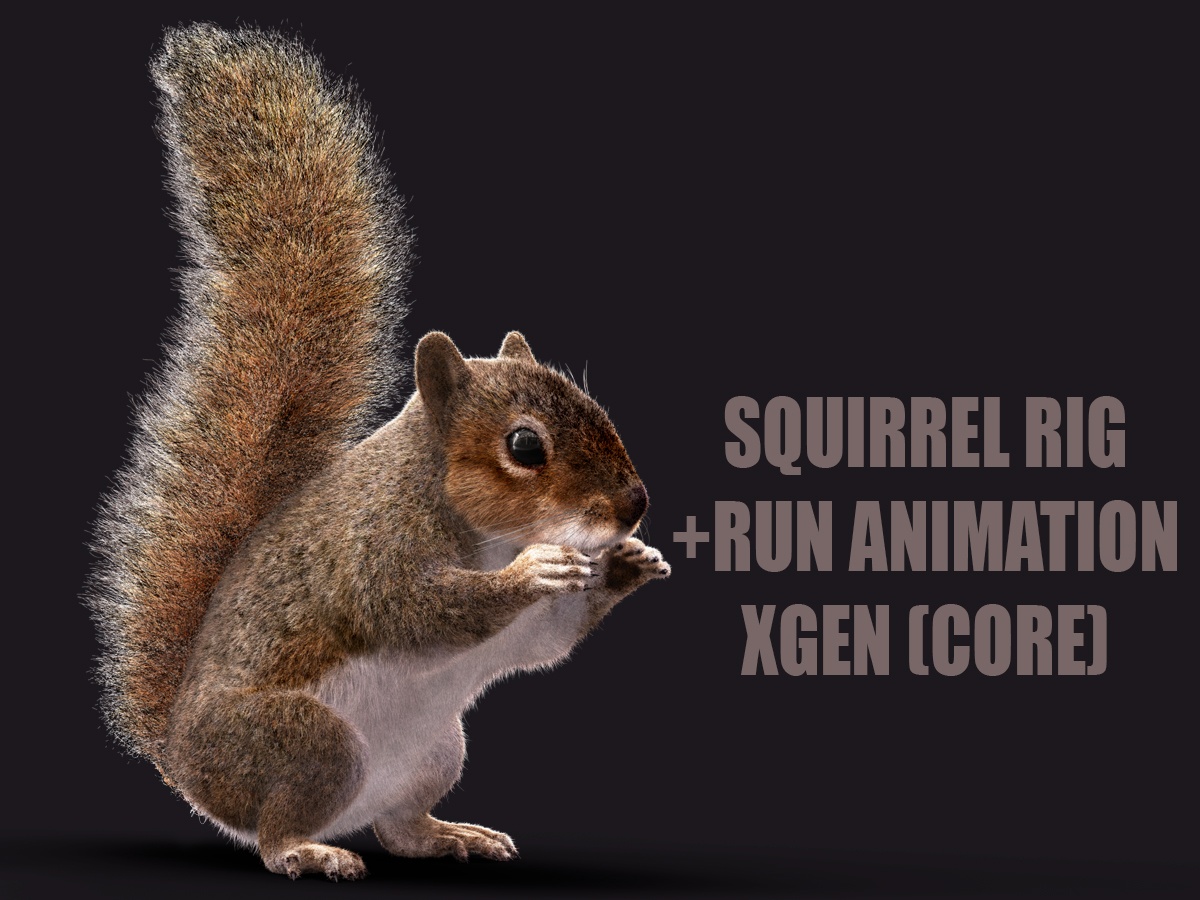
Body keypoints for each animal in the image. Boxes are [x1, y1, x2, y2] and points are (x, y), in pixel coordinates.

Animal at [86, 23, 669, 881]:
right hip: (309, 743)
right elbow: (421, 608)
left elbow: (543, 640)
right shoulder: (373, 553)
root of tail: (187, 765)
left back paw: (450, 835)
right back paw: (309, 851)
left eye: (598, 409)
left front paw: (630, 564)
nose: (634, 506)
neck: (485, 529)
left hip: (435, 750)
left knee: (398, 826)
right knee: (274, 834)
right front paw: (535, 572)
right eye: (524, 446)